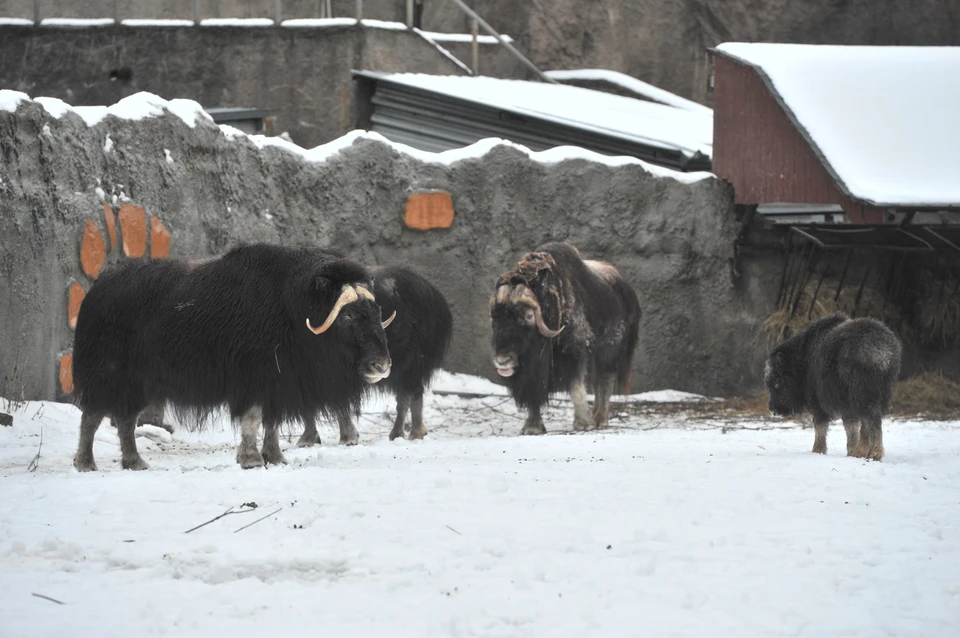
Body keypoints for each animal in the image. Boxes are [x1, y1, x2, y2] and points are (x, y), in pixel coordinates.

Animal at [70, 242, 394, 472]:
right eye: (348, 315)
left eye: (376, 311)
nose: (382, 365)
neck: (293, 309)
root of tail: (95, 291)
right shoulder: (253, 378)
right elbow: (252, 418)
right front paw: (251, 460)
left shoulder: (278, 382)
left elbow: (272, 422)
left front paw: (275, 457)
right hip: (107, 374)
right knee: (92, 416)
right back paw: (86, 464)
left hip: (138, 384)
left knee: (125, 419)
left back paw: (135, 463)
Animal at [492, 244, 640, 436]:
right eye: (495, 317)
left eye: (529, 315)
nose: (502, 361)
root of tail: (627, 290)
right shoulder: (535, 371)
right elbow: (535, 392)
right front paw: (532, 428)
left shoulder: (574, 351)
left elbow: (576, 387)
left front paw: (583, 424)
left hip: (609, 351)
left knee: (605, 382)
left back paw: (599, 419)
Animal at [764, 314, 900, 460]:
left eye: (776, 384)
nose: (772, 410)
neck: (803, 360)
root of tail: (880, 350)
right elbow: (851, 426)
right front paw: (852, 452)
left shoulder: (818, 403)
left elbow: (822, 427)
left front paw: (818, 450)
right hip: (879, 393)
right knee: (869, 421)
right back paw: (864, 451)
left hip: (862, 393)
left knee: (871, 419)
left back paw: (873, 452)